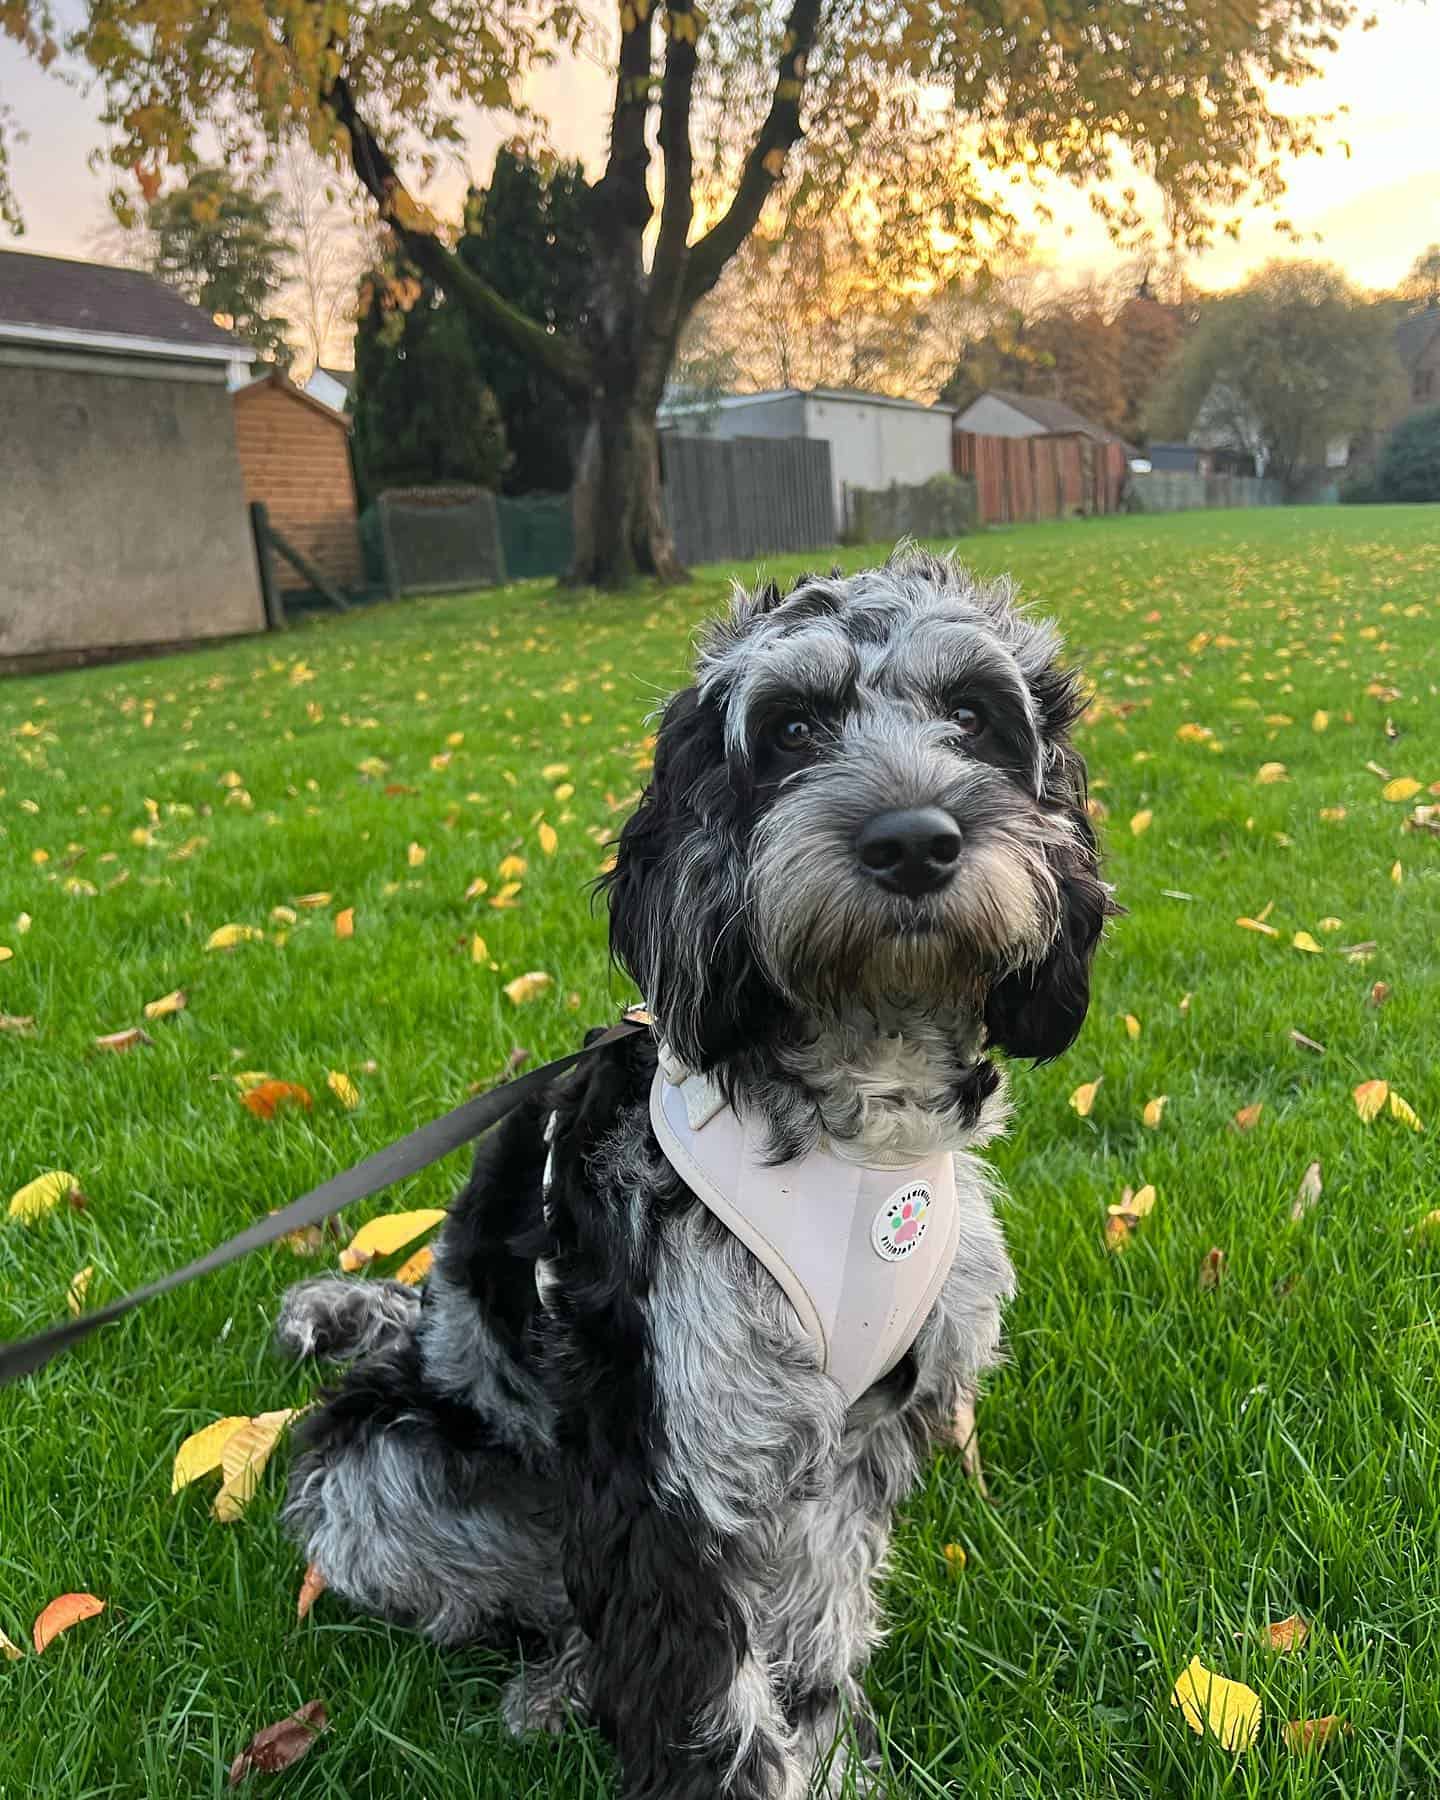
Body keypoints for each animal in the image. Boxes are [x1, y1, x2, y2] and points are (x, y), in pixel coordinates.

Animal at [273, 547, 1116, 1800]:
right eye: (793, 728)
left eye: (974, 715)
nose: (913, 842)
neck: (854, 1132)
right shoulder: (669, 1454)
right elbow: (709, 1702)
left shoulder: (857, 1443)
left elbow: (815, 1637)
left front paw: (832, 1758)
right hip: (384, 1475)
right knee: (540, 1597)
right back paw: (559, 1683)